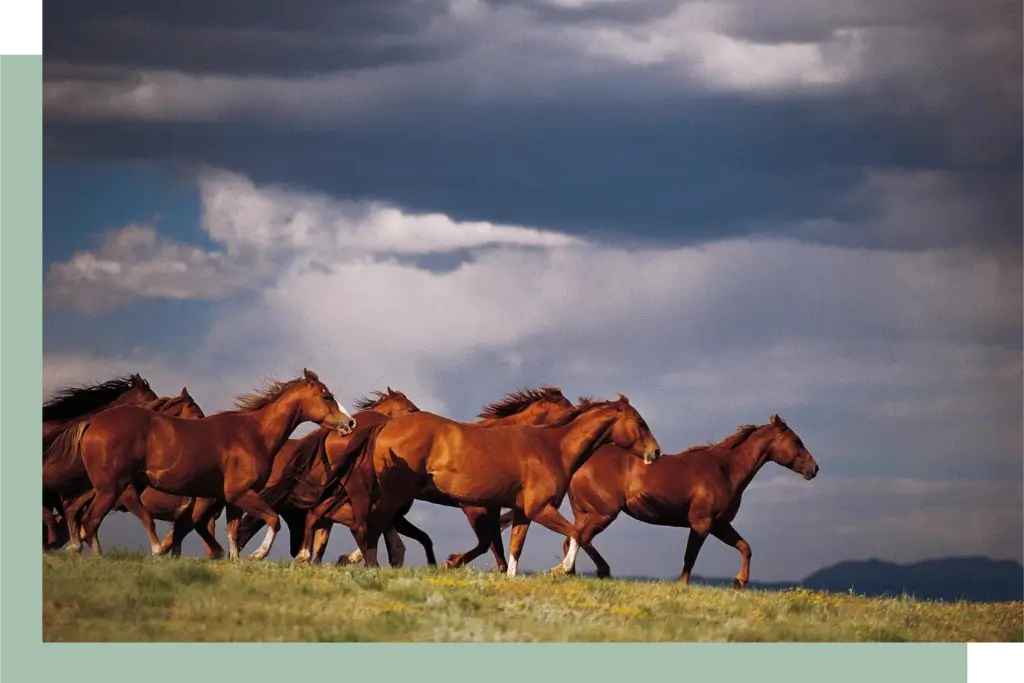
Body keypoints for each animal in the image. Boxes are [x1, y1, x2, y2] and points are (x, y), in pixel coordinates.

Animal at [76, 368, 356, 561]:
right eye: (327, 396)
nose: (350, 422)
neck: (254, 434)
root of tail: (92, 423)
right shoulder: (240, 493)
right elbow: (273, 519)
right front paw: (258, 554)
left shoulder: (231, 500)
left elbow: (233, 533)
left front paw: (235, 560)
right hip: (110, 488)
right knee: (90, 521)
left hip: (124, 485)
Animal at [301, 385, 577, 573]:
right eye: (568, 408)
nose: (577, 414)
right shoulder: (474, 507)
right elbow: (486, 542)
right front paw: (451, 562)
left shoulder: (493, 506)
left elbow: (495, 544)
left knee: (324, 514)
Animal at [348, 393, 659, 573]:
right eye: (640, 423)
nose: (655, 452)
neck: (552, 448)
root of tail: (384, 425)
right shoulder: (536, 509)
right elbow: (576, 533)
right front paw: (561, 569)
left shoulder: (520, 511)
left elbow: (513, 548)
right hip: (394, 494)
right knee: (371, 524)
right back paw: (371, 565)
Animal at [520, 413, 815, 585]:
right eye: (796, 441)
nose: (814, 469)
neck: (725, 470)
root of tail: (579, 463)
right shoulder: (702, 523)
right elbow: (689, 558)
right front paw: (683, 587)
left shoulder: (720, 525)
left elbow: (745, 547)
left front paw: (740, 582)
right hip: (603, 513)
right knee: (579, 538)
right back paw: (588, 571)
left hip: (588, 513)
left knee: (573, 538)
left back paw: (575, 572)